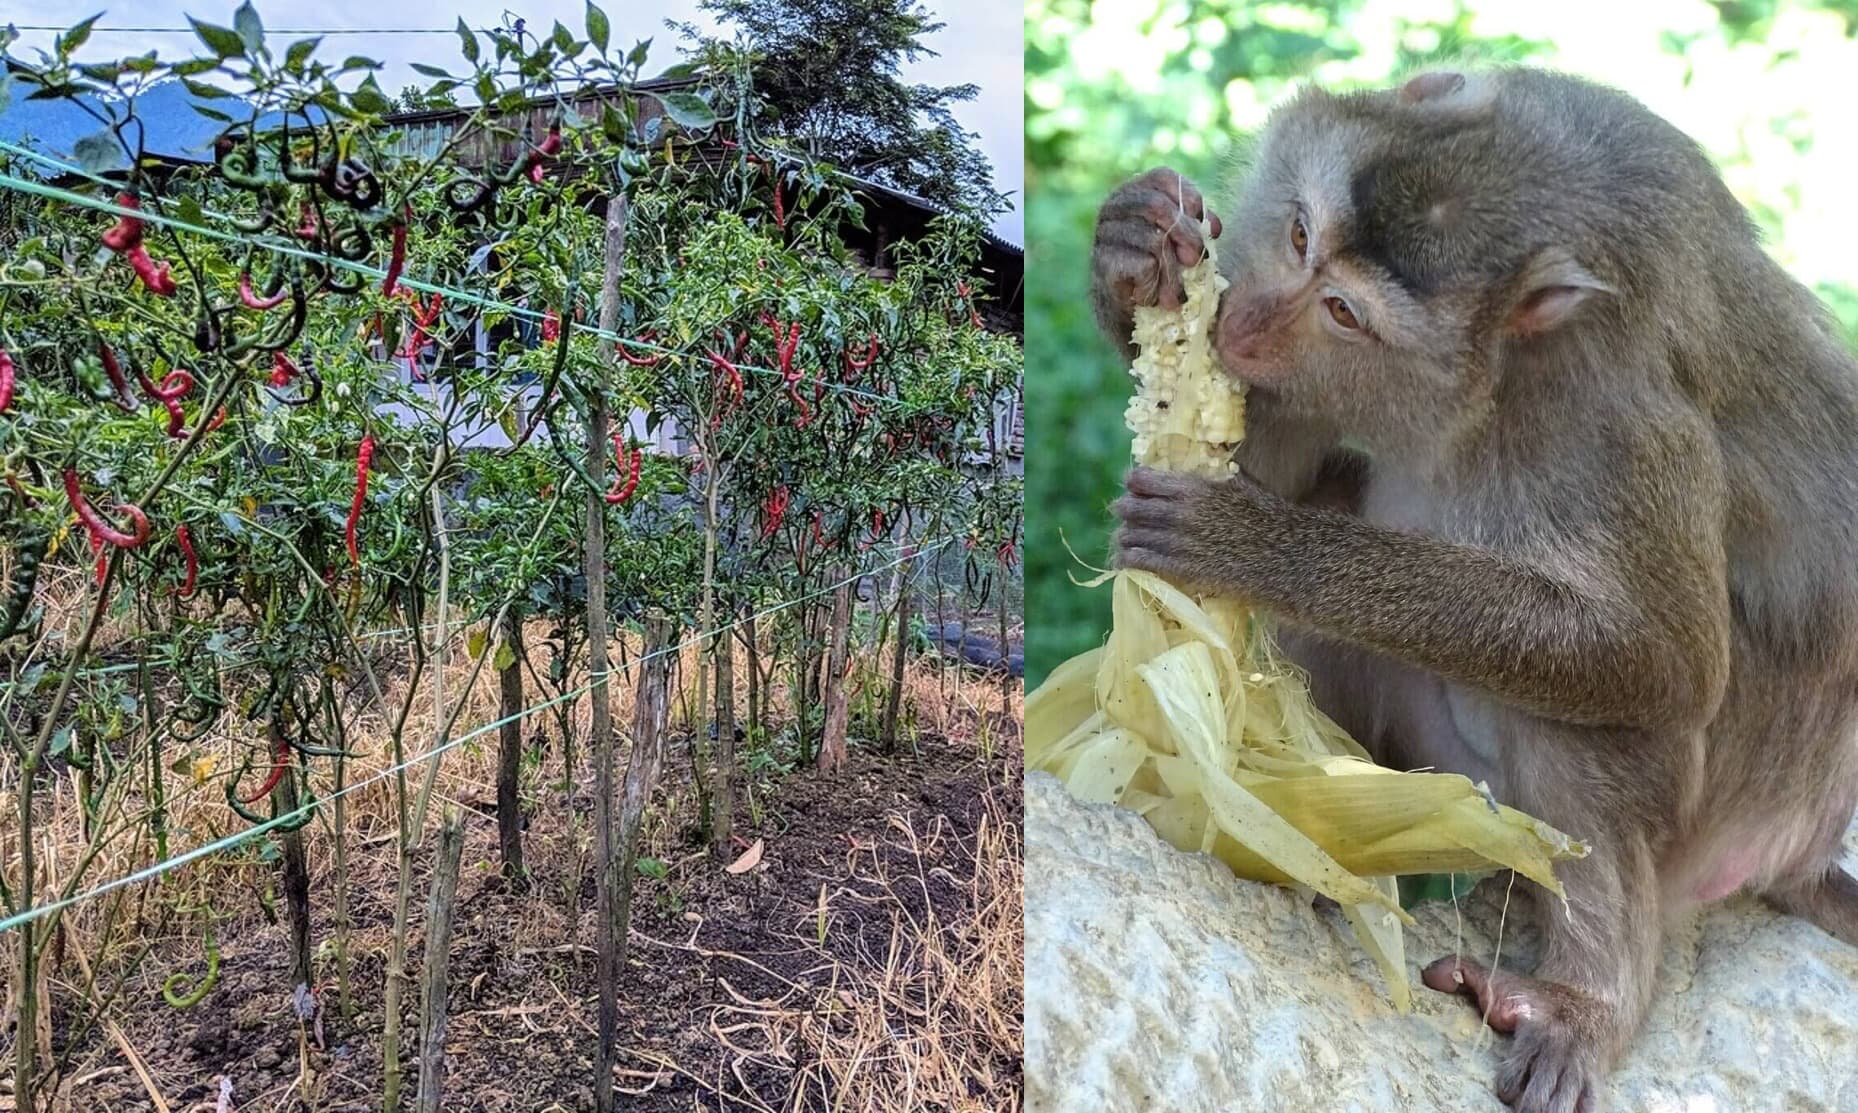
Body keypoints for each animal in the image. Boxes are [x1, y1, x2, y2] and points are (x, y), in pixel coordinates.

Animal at [1090, 68, 1858, 1113]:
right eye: (1298, 236)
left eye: (1345, 312)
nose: (1242, 323)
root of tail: (1802, 847)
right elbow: (1256, 450)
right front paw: (1133, 248)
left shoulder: (1616, 417)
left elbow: (1666, 661)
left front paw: (1257, 546)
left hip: (1641, 832)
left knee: (1577, 722)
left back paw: (1593, 995)